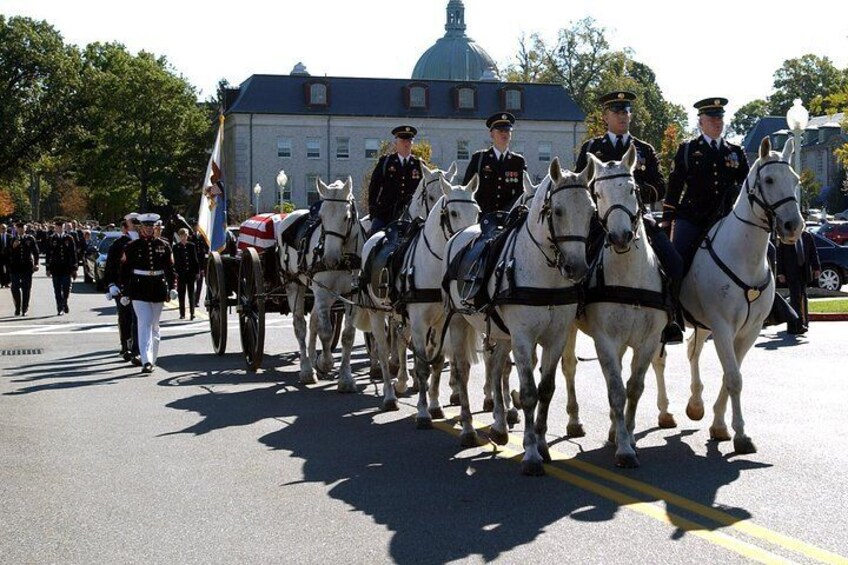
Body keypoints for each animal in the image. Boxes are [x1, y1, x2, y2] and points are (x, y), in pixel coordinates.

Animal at [274, 178, 362, 390]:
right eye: (321, 217)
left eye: (346, 217)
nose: (329, 258)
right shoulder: (322, 293)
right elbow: (326, 332)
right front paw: (325, 362)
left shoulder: (352, 295)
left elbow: (348, 335)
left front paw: (345, 378)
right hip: (294, 285)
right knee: (300, 325)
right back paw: (307, 369)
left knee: (313, 320)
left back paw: (313, 358)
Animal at [354, 172, 480, 410]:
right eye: (453, 212)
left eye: (477, 211)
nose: (469, 240)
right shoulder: (420, 322)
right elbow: (422, 364)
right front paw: (423, 409)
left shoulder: (441, 321)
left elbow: (436, 361)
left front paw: (435, 403)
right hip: (377, 312)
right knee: (383, 349)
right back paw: (389, 394)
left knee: (401, 340)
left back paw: (402, 380)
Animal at [448, 156, 592, 474]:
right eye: (558, 210)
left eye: (591, 211)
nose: (577, 268)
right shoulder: (524, 338)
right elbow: (528, 393)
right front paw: (531, 453)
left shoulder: (555, 337)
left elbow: (546, 389)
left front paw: (541, 443)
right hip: (458, 321)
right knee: (463, 370)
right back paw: (468, 428)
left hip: (503, 334)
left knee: (497, 367)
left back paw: (500, 426)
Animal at [560, 145, 672, 468]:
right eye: (597, 193)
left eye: (633, 189)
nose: (620, 236)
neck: (629, 276)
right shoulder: (606, 340)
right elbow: (616, 390)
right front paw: (623, 448)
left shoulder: (648, 340)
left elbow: (633, 388)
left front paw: (628, 436)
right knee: (569, 366)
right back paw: (575, 421)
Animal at [656, 138, 800, 454]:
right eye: (769, 180)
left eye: (796, 179)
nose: (794, 226)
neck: (744, 256)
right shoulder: (722, 325)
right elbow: (734, 377)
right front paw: (740, 434)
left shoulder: (749, 330)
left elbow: (731, 373)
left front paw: (720, 425)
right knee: (658, 361)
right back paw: (665, 412)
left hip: (700, 324)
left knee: (692, 351)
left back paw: (695, 404)